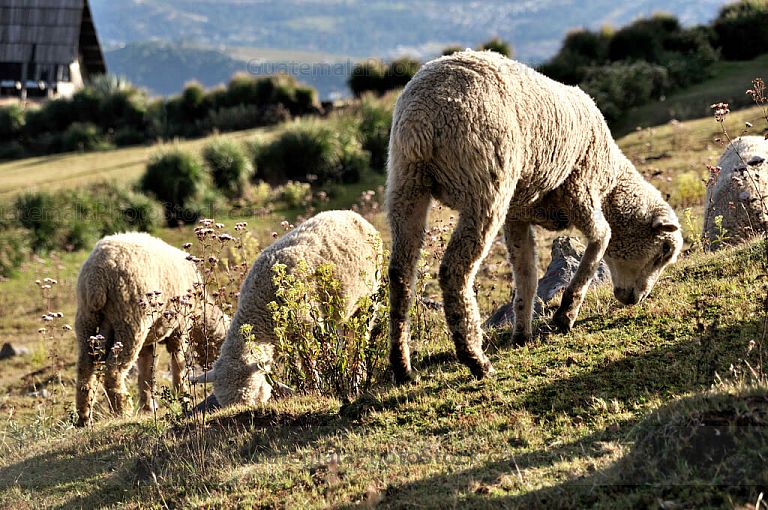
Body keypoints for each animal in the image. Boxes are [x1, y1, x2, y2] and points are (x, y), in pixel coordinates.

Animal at [74, 232, 229, 426]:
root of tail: (96, 278)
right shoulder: (180, 327)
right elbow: (178, 363)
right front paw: (183, 396)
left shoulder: (149, 340)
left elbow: (146, 370)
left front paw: (148, 406)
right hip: (129, 321)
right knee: (113, 370)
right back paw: (122, 410)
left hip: (88, 321)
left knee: (85, 368)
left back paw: (84, 416)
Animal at [193, 210, 382, 408]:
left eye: (251, 394)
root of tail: (350, 213)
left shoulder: (307, 326)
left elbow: (309, 364)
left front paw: (315, 388)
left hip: (369, 299)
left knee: (361, 338)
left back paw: (357, 378)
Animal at [386, 50, 683, 383]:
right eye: (664, 252)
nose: (636, 300)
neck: (609, 181)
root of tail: (423, 116)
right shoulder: (580, 189)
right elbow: (601, 237)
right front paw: (565, 315)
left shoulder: (518, 215)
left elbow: (526, 275)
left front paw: (522, 334)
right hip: (485, 187)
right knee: (454, 271)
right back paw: (475, 359)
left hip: (405, 182)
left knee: (400, 272)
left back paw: (403, 367)